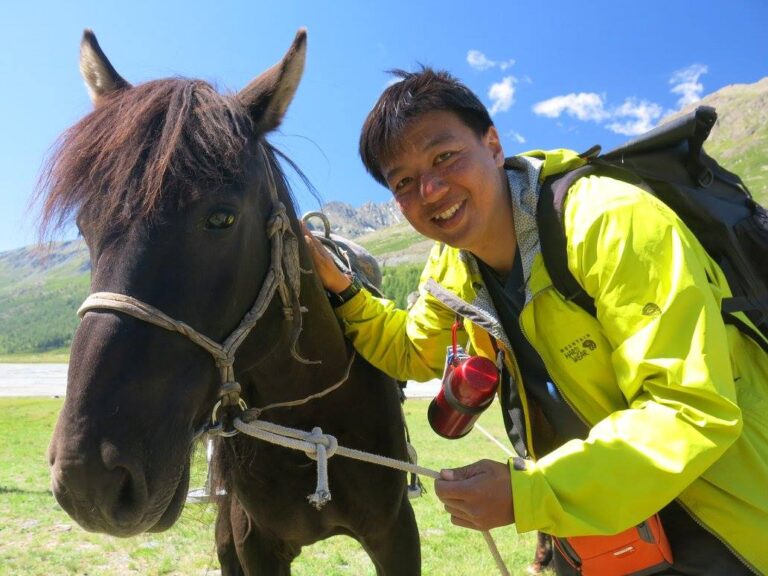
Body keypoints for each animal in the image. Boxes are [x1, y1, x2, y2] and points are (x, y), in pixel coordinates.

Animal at [43, 29, 420, 572]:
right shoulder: (253, 541)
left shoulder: (395, 533)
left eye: (221, 218)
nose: (88, 479)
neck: (311, 416)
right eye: (83, 225)